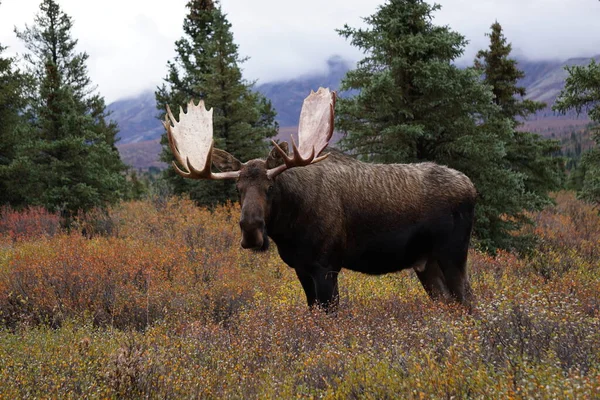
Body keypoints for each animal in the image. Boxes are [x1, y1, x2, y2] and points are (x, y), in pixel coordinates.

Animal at [165, 88, 478, 312]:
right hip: (425, 262)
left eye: (270, 186)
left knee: (468, 300)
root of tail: (472, 188)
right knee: (448, 302)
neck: (289, 229)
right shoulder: (301, 268)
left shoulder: (327, 266)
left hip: (453, 253)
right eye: (237, 188)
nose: (251, 231)